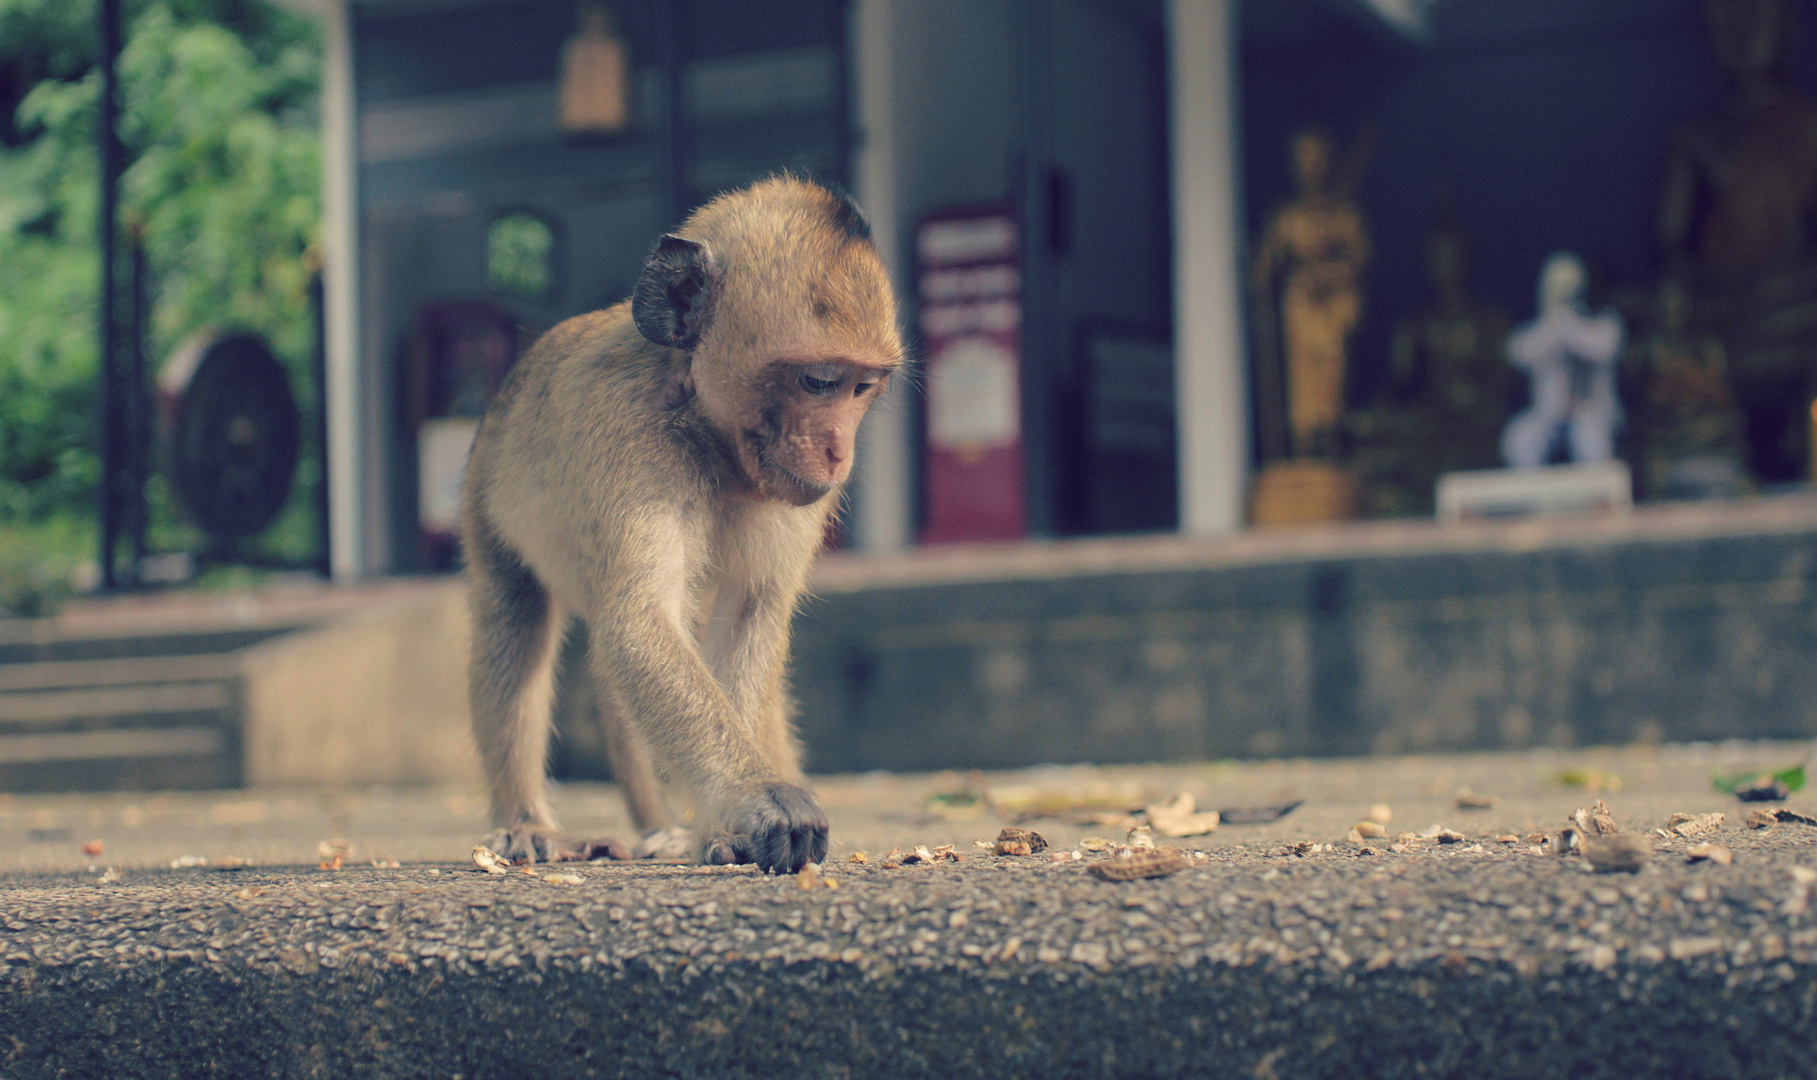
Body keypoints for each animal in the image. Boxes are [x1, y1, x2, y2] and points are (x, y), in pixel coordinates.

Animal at [461, 172, 901, 869]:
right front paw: (758, 797)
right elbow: (641, 625)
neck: (706, 427)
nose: (838, 452)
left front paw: (727, 826)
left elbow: (749, 613)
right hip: (484, 495)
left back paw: (663, 825)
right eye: (818, 381)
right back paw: (529, 821)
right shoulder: (632, 437)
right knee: (515, 619)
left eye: (862, 388)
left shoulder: (796, 499)